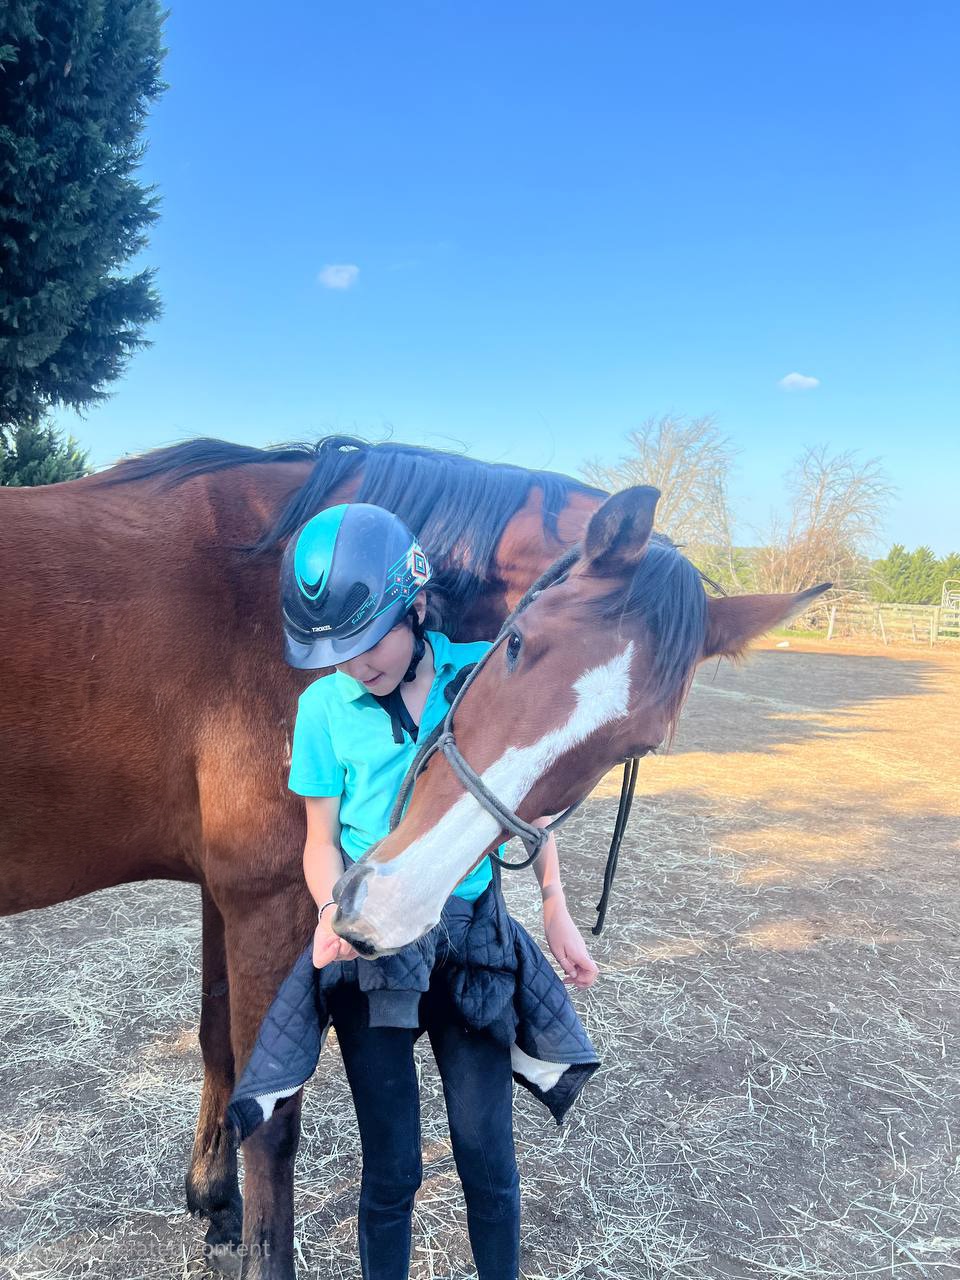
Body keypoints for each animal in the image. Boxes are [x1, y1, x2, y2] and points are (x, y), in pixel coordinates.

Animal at [0, 436, 606, 1278]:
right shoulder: (273, 898)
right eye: (523, 657)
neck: (258, 588)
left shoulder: (227, 891)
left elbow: (220, 1042)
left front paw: (216, 1202)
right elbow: (274, 1116)